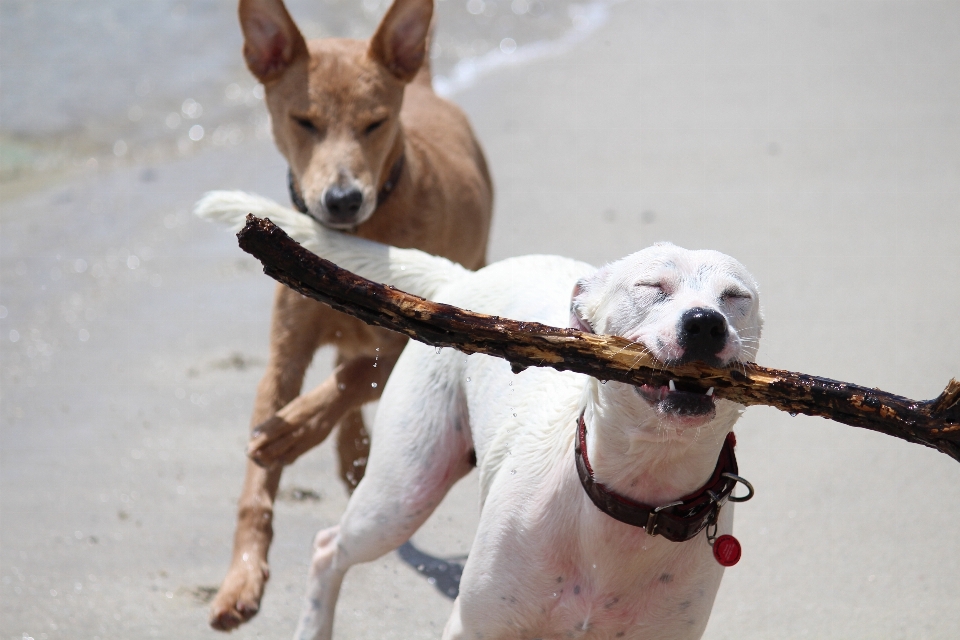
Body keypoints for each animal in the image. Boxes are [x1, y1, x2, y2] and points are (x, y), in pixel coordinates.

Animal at [195, 191, 764, 640]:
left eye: (736, 297)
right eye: (651, 287)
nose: (705, 323)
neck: (639, 493)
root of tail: (465, 279)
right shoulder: (475, 624)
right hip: (401, 493)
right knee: (328, 548)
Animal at [212, 0, 496, 632]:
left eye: (374, 123)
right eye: (303, 121)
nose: (342, 200)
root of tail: (424, 83)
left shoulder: (417, 333)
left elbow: (348, 378)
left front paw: (290, 433)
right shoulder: (284, 354)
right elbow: (255, 485)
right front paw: (241, 580)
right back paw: (350, 454)